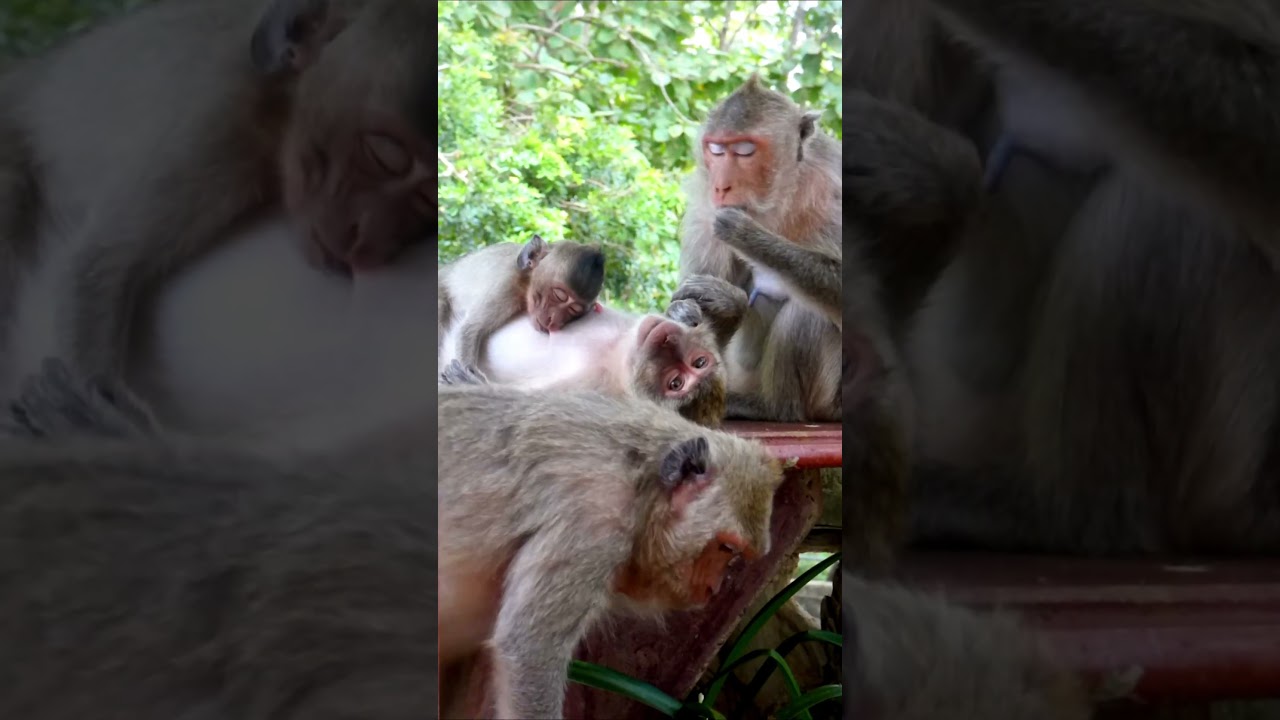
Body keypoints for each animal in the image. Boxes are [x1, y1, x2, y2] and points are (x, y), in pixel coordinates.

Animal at [0, 0, 432, 401]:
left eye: (425, 207)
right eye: (385, 154)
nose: (368, 238)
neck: (279, 100)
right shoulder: (215, 121)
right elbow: (98, 263)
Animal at [437, 382, 784, 719]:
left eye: (734, 553)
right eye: (726, 547)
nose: (715, 585)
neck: (640, 480)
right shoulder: (593, 522)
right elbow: (530, 649)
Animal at [438, 234, 606, 367]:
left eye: (574, 310)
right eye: (559, 295)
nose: (554, 320)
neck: (525, 279)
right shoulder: (505, 285)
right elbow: (469, 329)